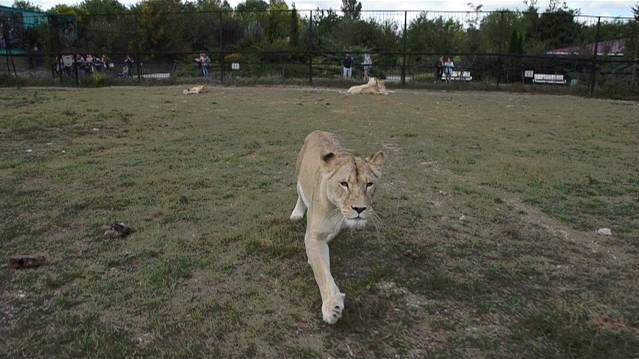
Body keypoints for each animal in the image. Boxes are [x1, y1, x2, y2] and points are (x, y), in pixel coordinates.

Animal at [290, 131, 384, 324]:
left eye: (369, 184)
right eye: (344, 184)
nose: (360, 209)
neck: (339, 211)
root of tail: (318, 131)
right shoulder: (314, 235)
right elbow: (322, 272)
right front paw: (332, 305)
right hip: (299, 175)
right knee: (300, 194)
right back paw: (296, 213)